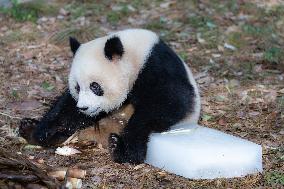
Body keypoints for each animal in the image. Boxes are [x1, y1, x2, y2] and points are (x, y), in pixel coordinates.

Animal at [20, 28, 201, 164]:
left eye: (95, 86)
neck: (134, 56)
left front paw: (127, 150)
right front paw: (43, 131)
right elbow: (67, 106)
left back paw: (116, 146)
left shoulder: (157, 67)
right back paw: (29, 129)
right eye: (77, 87)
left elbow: (172, 102)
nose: (83, 107)